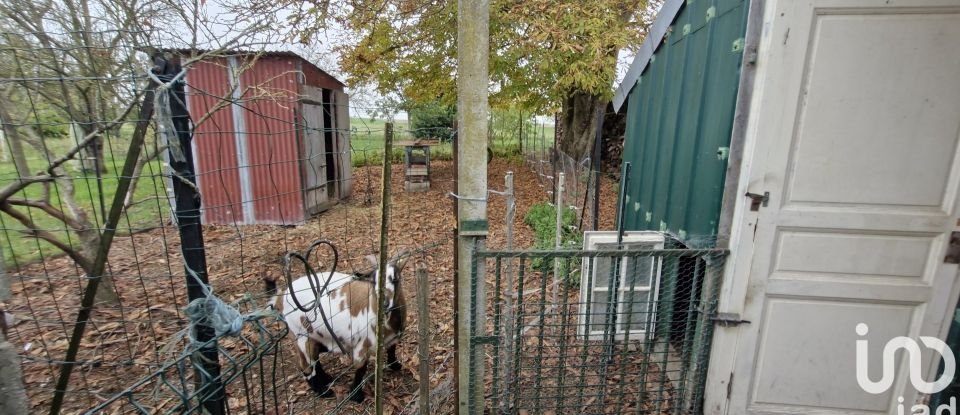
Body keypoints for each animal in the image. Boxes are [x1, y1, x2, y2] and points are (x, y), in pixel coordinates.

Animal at [264, 254, 406, 404]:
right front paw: (356, 396)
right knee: (305, 365)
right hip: (301, 335)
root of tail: (281, 297)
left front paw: (395, 365)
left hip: (315, 336)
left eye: (395, 279)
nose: (384, 303)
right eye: (373, 281)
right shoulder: (362, 345)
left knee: (314, 357)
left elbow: (392, 349)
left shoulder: (392, 338)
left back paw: (326, 378)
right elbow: (361, 369)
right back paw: (323, 391)